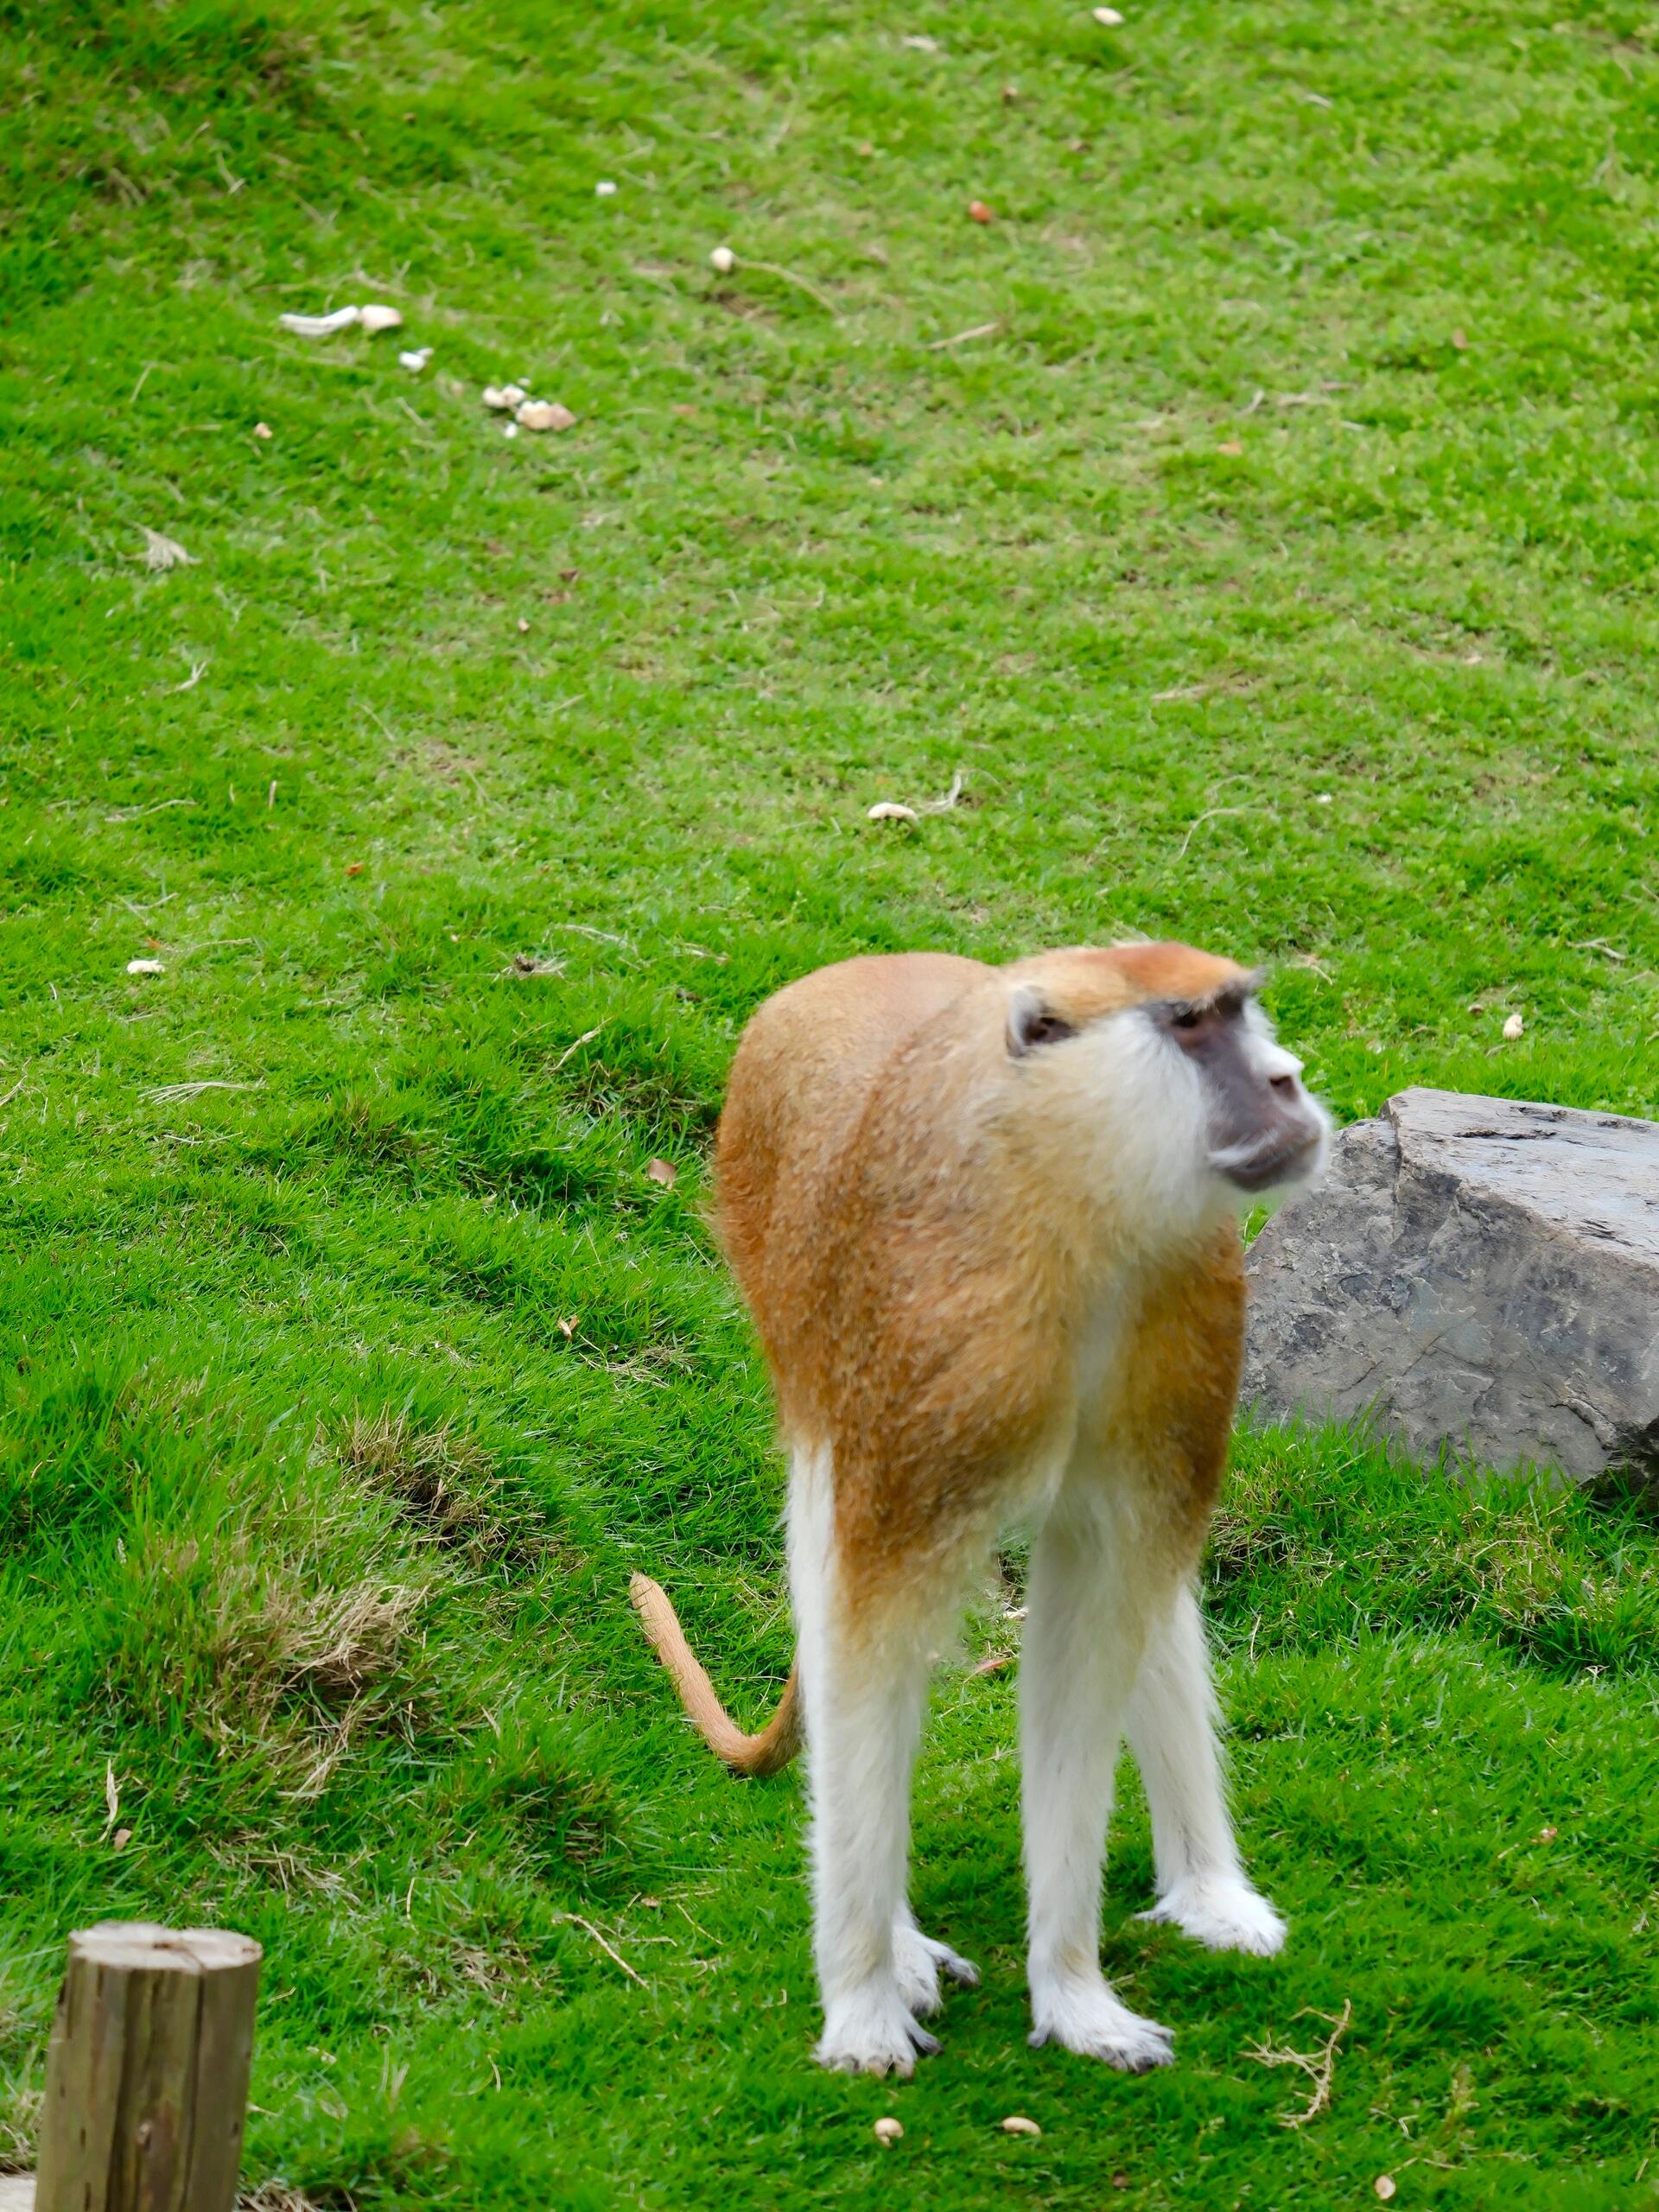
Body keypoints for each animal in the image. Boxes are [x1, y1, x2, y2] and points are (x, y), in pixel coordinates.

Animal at [628, 946, 1336, 2070]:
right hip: (782, 1277)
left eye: (1241, 1009)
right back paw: (897, 1945)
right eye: (1190, 1025)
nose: (1287, 1078)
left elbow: (1095, 1620)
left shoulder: (1187, 1325)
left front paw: (1075, 1991)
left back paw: (1208, 1886)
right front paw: (865, 2000)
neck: (1062, 1192)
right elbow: (869, 1629)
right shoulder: (938, 1357)